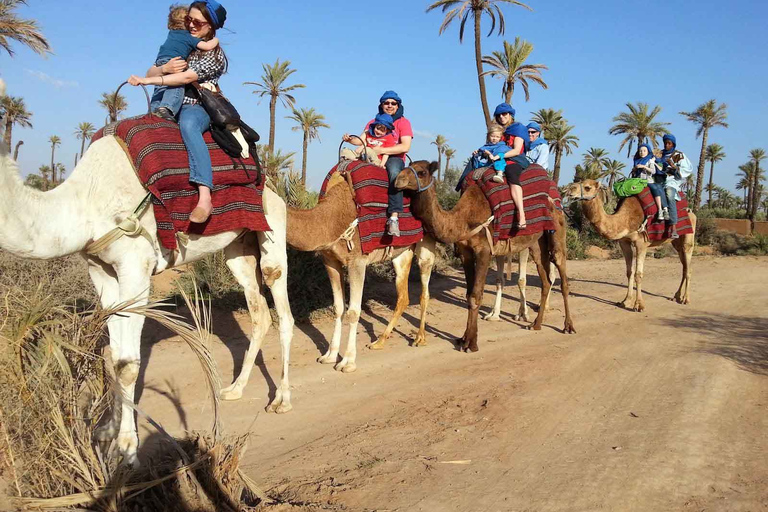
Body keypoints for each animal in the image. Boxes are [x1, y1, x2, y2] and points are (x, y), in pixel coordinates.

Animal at [0, 112, 292, 464]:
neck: (84, 202)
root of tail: (272, 184)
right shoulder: (100, 270)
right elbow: (114, 357)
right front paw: (107, 431)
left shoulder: (135, 267)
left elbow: (128, 364)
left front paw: (126, 448)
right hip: (237, 247)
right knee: (259, 312)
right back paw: (235, 389)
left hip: (273, 227)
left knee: (282, 306)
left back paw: (282, 399)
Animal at [284, 172, 436, 372]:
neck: (328, 220)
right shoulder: (330, 261)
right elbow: (339, 307)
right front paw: (330, 356)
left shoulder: (357, 261)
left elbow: (354, 311)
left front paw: (347, 362)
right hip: (401, 253)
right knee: (403, 296)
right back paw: (379, 342)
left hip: (426, 244)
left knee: (424, 290)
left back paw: (420, 338)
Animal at [392, 161, 572, 352]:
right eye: (408, 165)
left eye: (422, 172)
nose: (398, 179)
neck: (462, 219)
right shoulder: (465, 253)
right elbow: (468, 294)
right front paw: (463, 339)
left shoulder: (484, 250)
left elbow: (476, 295)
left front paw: (471, 343)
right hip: (537, 241)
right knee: (545, 279)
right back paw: (536, 324)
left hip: (557, 229)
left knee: (561, 272)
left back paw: (568, 326)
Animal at [564, 179, 696, 312]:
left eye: (587, 187)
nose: (569, 189)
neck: (625, 220)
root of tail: (691, 212)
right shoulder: (624, 242)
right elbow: (629, 272)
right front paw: (626, 301)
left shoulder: (641, 243)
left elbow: (638, 274)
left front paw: (639, 305)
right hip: (676, 243)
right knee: (684, 267)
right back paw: (676, 296)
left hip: (688, 237)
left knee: (689, 266)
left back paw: (685, 299)